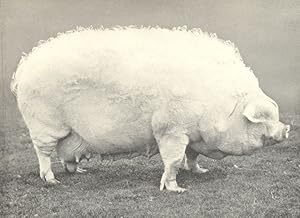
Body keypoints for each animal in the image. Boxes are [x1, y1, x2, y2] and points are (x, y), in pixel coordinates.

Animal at [12, 26, 290, 192]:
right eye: (262, 118)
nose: (286, 129)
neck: (220, 104)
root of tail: (25, 67)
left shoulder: (191, 134)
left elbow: (192, 156)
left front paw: (200, 171)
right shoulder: (169, 128)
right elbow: (174, 160)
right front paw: (177, 189)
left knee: (67, 155)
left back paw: (80, 170)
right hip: (45, 125)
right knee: (43, 153)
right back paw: (52, 180)